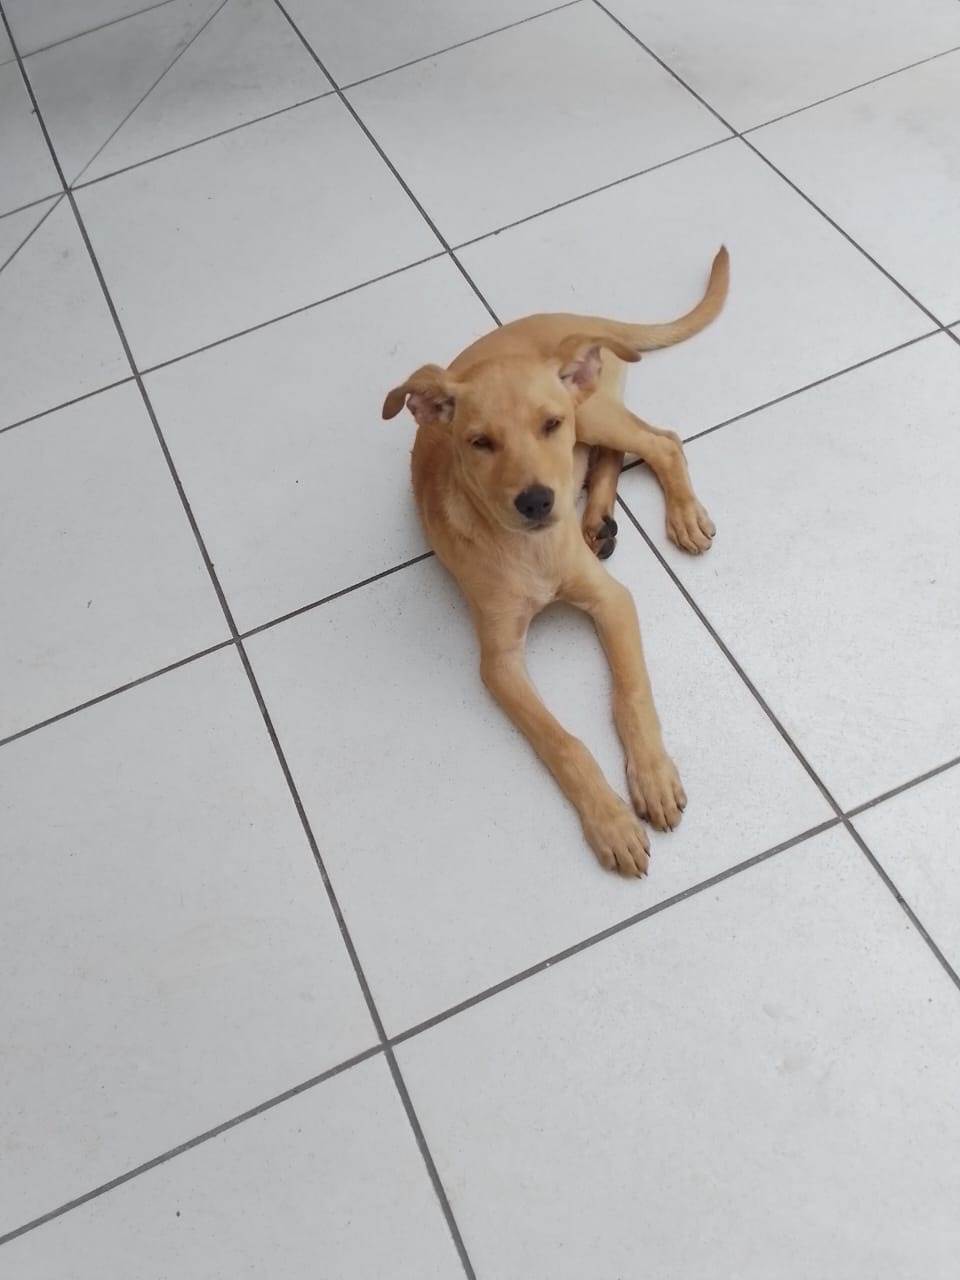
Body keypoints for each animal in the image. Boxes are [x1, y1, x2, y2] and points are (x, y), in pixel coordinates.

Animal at [383, 248, 728, 877]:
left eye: (548, 424)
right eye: (479, 443)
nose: (537, 501)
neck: (532, 550)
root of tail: (573, 321)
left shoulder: (613, 600)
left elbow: (631, 693)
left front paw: (652, 777)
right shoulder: (499, 663)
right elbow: (563, 743)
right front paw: (611, 821)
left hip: (590, 413)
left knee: (660, 441)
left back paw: (681, 513)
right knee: (615, 454)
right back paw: (597, 520)